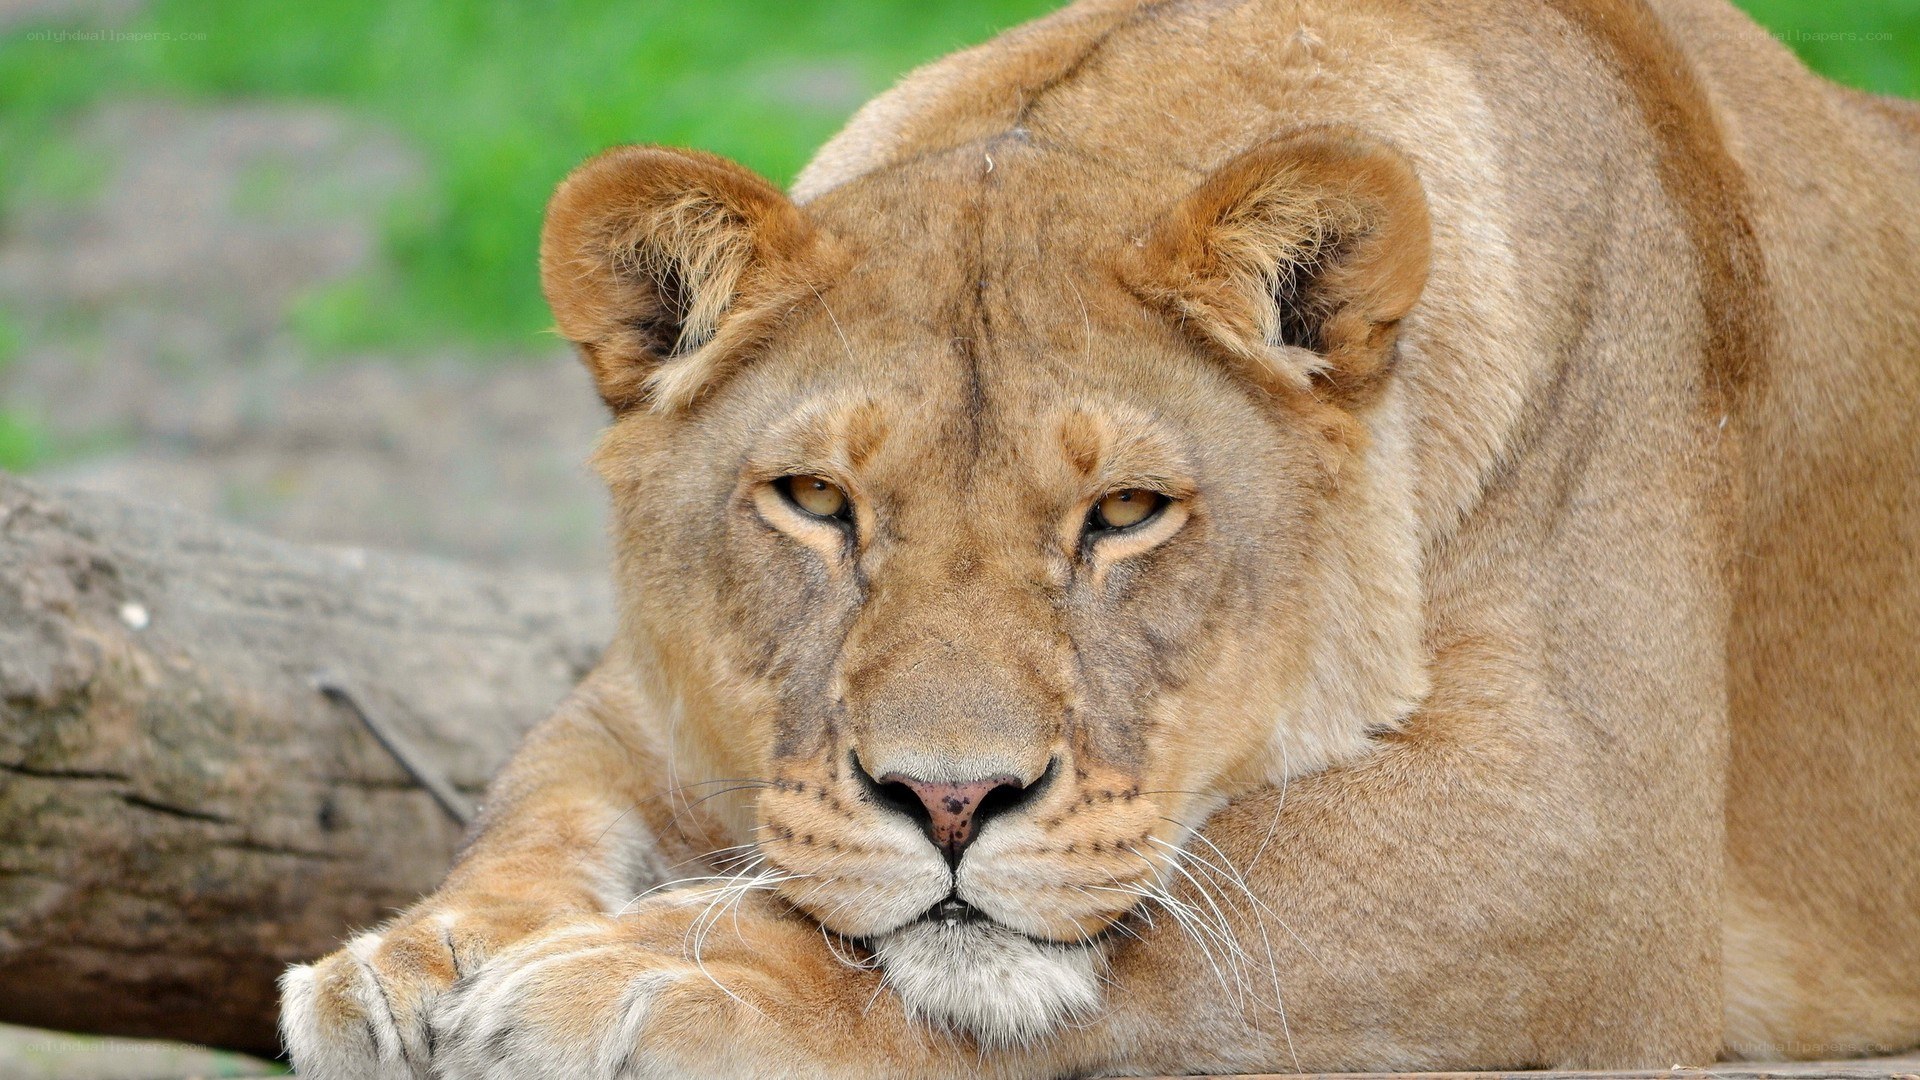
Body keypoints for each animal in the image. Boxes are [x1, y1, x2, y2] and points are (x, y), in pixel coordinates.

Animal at [277, 0, 1920, 1075]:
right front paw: (408, 962)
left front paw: (638, 978)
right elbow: (544, 801)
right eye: (817, 503)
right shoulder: (657, 697)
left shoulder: (1590, 837)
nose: (949, 800)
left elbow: (1180, 908)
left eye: (1125, 515)